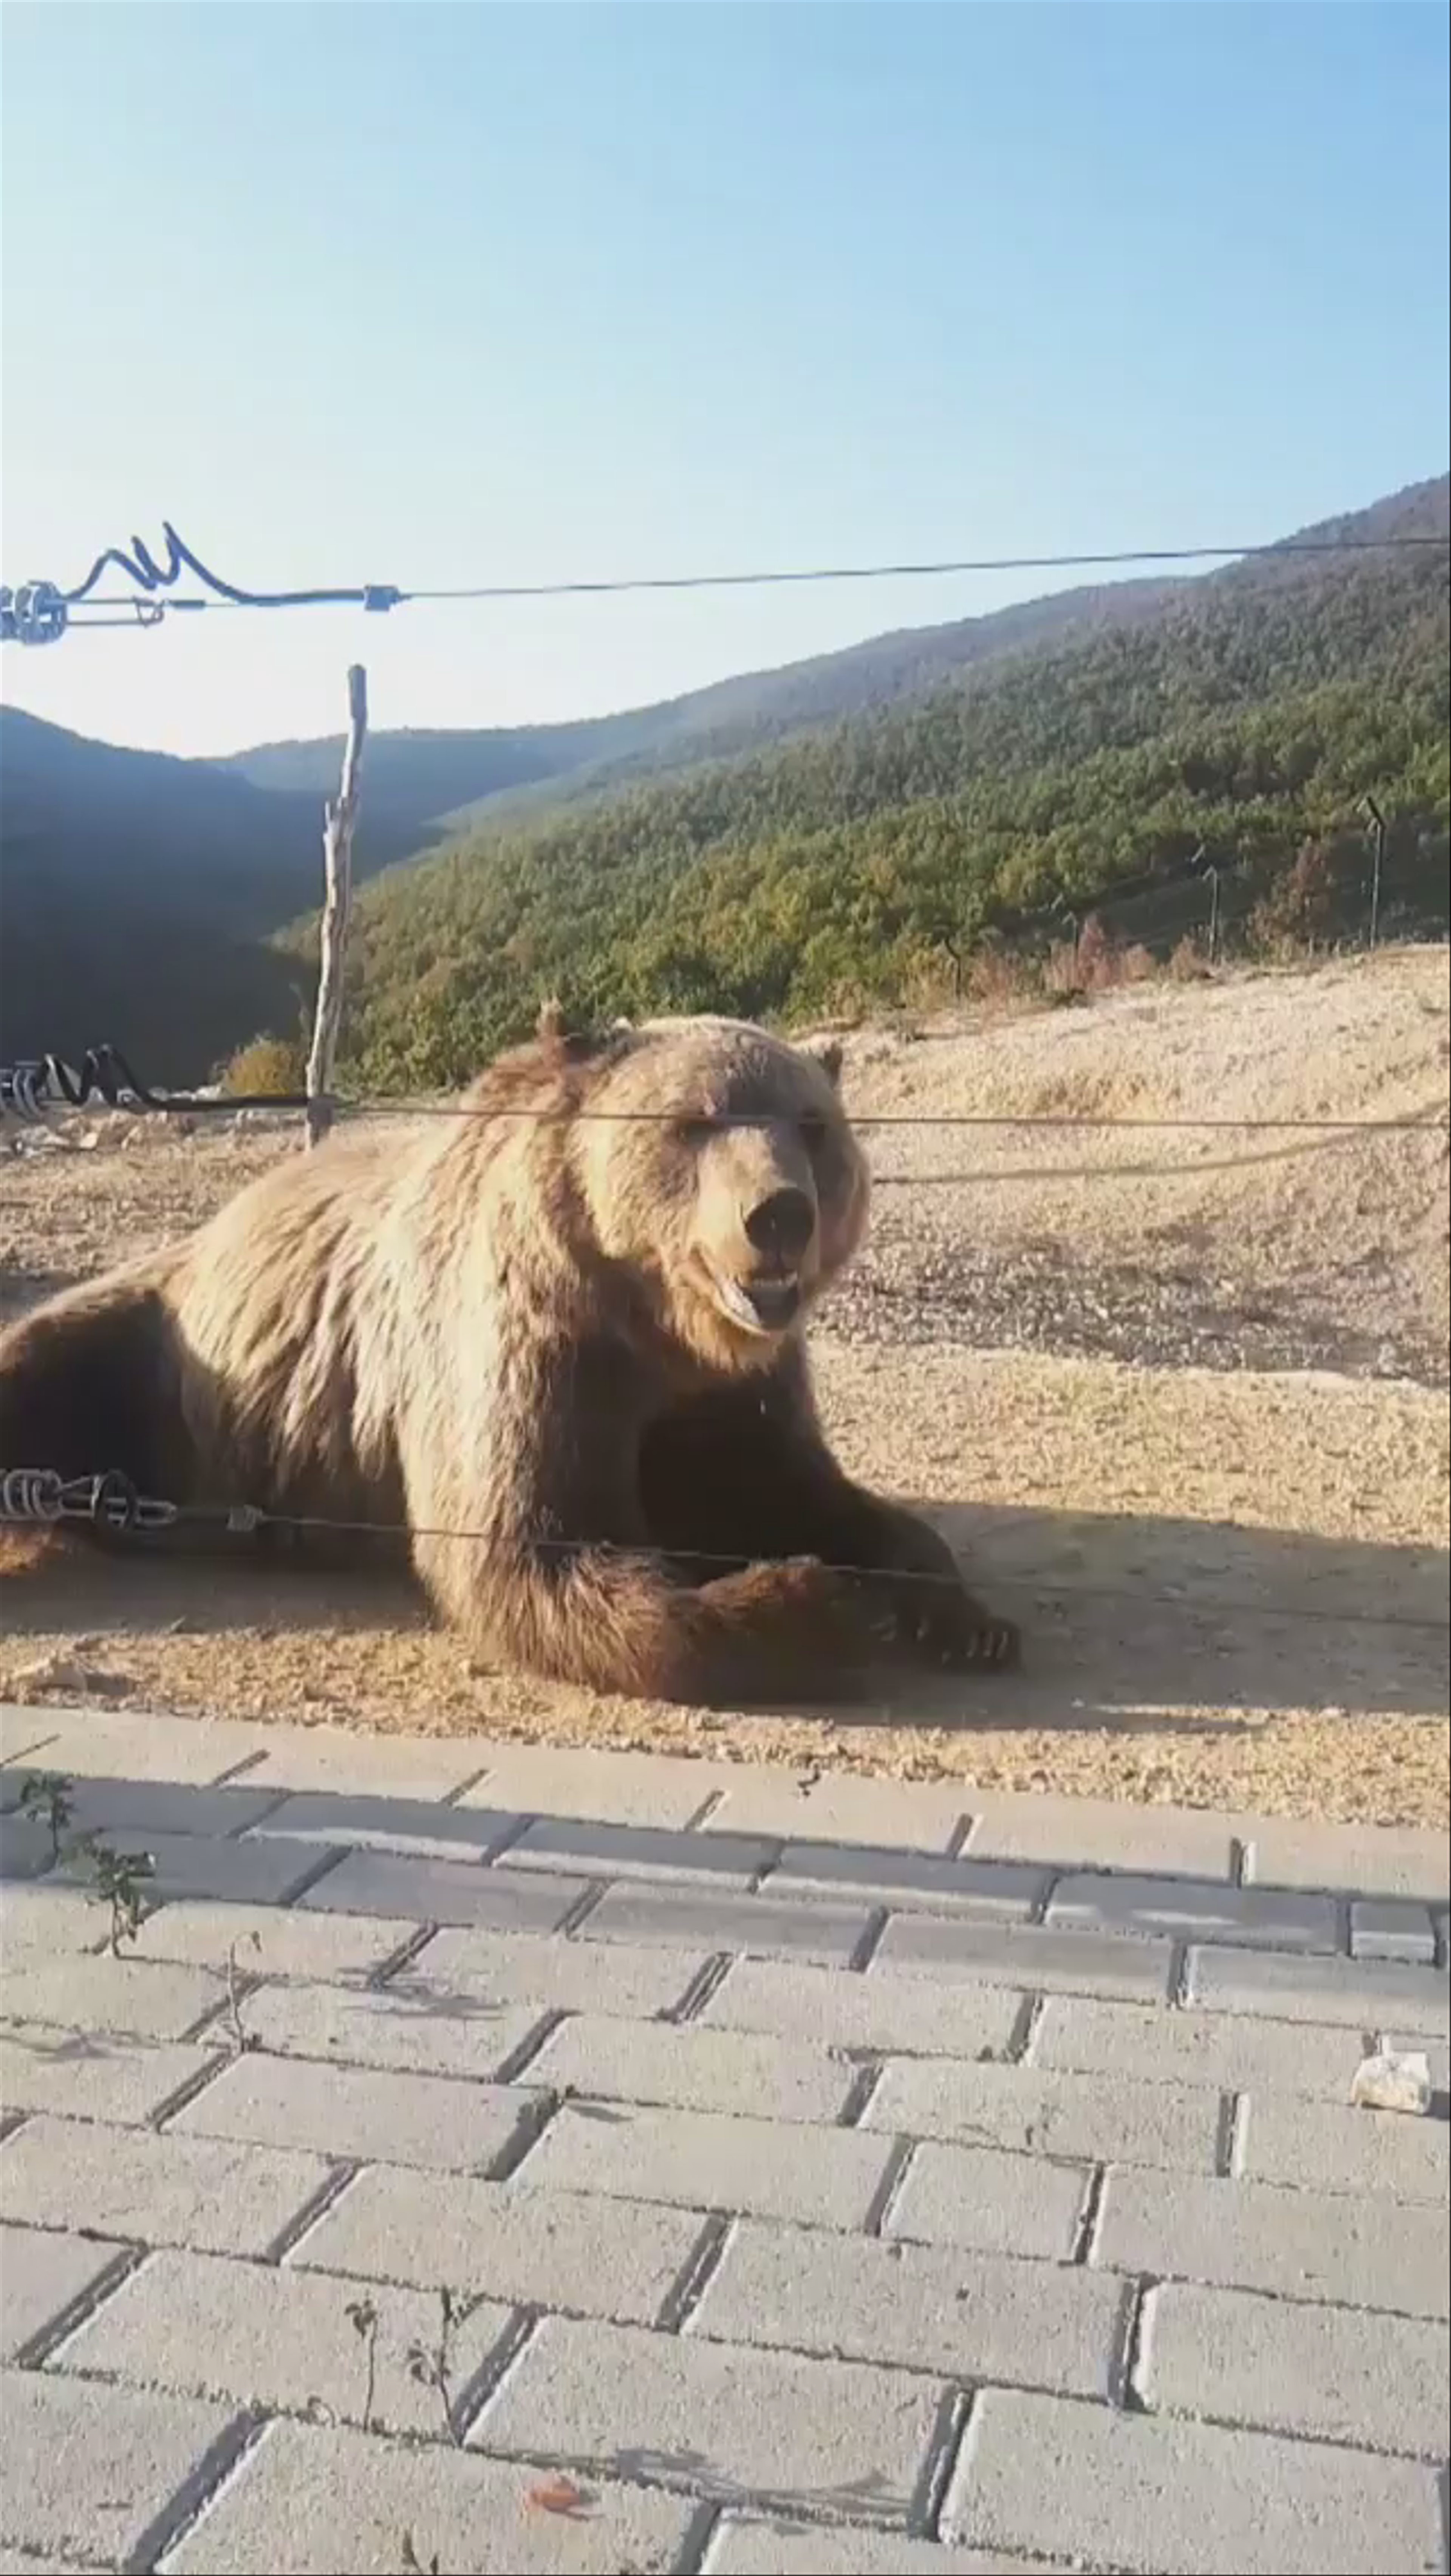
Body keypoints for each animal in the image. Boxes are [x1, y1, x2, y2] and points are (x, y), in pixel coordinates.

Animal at [0, 1006, 1019, 1704]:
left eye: (813, 1126)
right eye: (692, 1121)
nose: (778, 1215)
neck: (653, 1319)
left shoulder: (729, 1389)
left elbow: (797, 1489)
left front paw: (961, 1618)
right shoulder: (533, 1340)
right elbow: (526, 1550)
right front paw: (800, 1598)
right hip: (151, 1347)